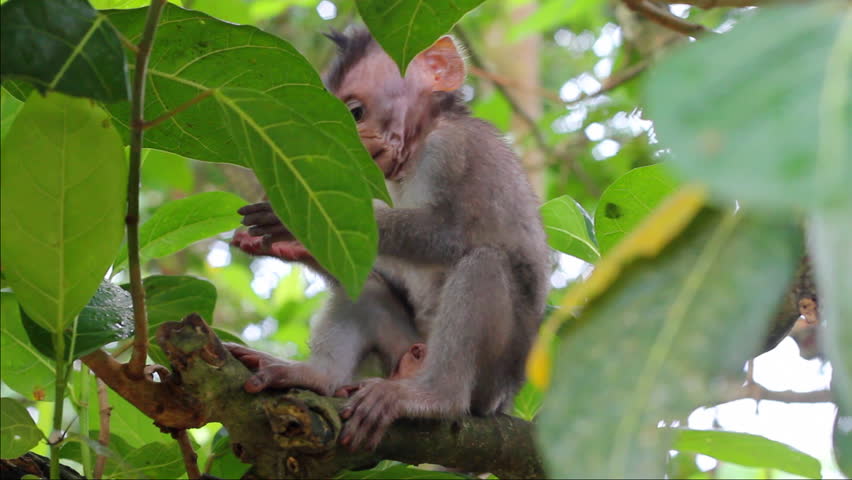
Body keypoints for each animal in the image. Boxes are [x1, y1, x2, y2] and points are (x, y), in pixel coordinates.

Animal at [228, 28, 550, 451]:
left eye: (355, 113)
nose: (352, 147)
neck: (421, 141)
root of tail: (507, 398)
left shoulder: (454, 150)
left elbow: (449, 235)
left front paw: (290, 223)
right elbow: (364, 263)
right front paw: (297, 248)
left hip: (491, 381)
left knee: (483, 264)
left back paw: (436, 396)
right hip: (399, 350)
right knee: (366, 293)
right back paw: (317, 376)